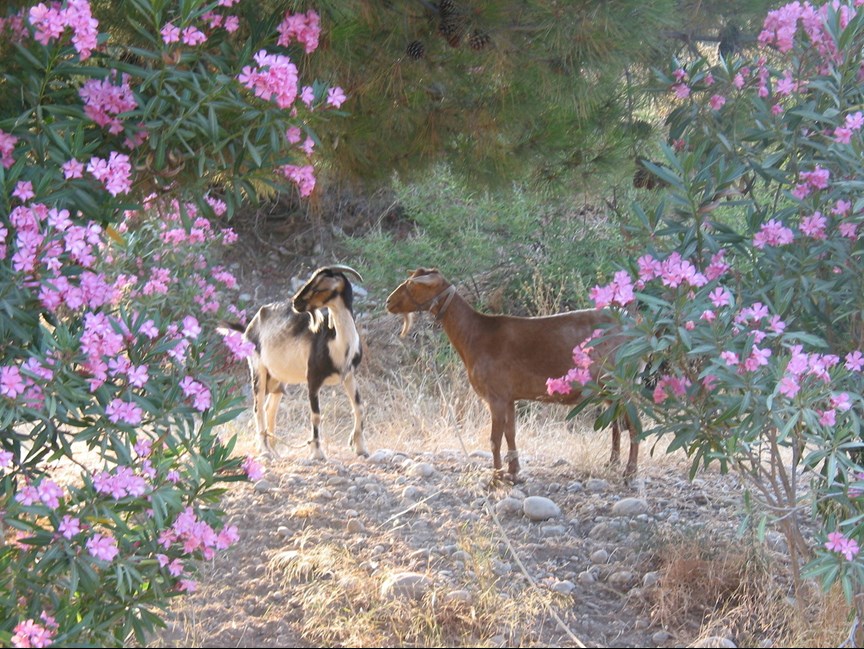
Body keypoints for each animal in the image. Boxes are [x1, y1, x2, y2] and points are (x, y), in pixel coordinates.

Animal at [221, 266, 366, 458]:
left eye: (319, 287)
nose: (296, 303)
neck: (338, 343)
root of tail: (249, 327)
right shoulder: (313, 379)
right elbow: (316, 415)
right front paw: (317, 453)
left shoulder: (349, 375)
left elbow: (359, 407)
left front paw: (360, 448)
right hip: (258, 369)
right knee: (258, 408)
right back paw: (265, 451)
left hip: (278, 378)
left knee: (270, 408)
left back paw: (274, 450)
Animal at [384, 266, 636, 478]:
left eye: (412, 284)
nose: (388, 302)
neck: (475, 334)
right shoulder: (509, 397)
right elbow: (510, 433)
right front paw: (514, 470)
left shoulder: (495, 395)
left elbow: (494, 439)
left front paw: (496, 475)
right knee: (616, 423)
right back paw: (612, 463)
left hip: (622, 382)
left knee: (632, 424)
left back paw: (629, 472)